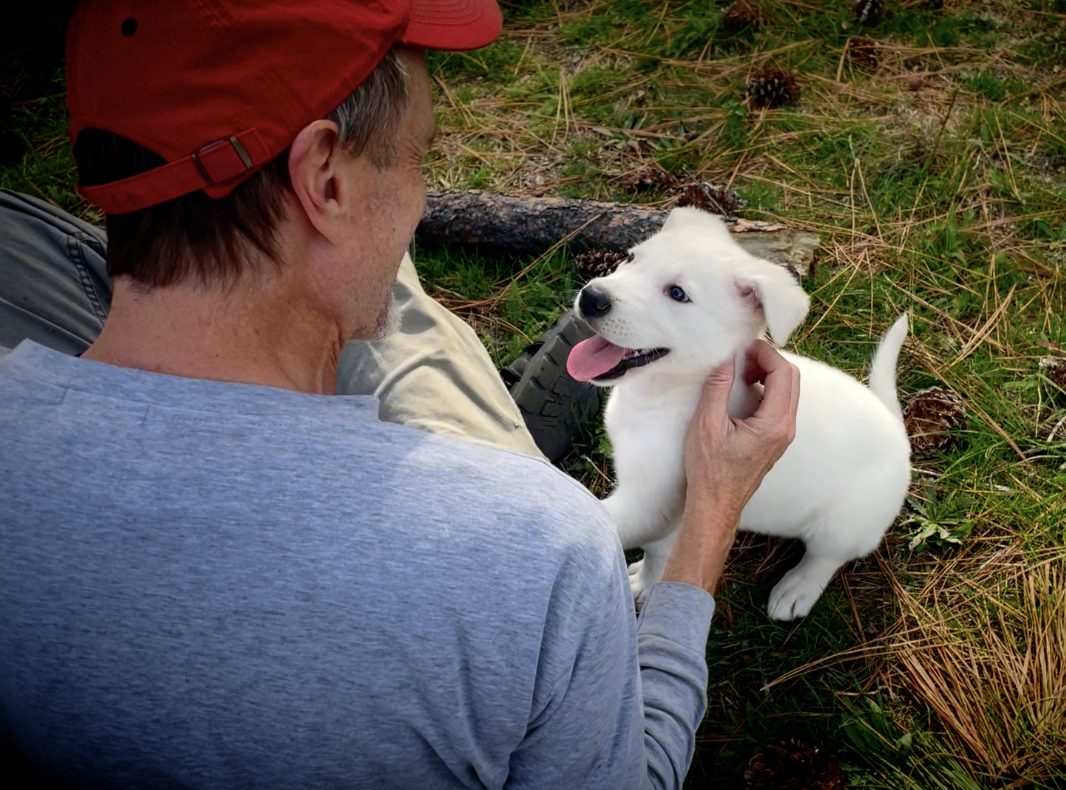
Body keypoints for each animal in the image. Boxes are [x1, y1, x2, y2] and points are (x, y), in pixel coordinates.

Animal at [567, 206, 908, 618]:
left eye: (677, 294)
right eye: (632, 259)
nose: (591, 297)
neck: (664, 395)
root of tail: (896, 428)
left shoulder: (650, 503)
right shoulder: (666, 515)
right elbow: (658, 554)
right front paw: (645, 581)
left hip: (845, 523)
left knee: (826, 557)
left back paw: (797, 589)